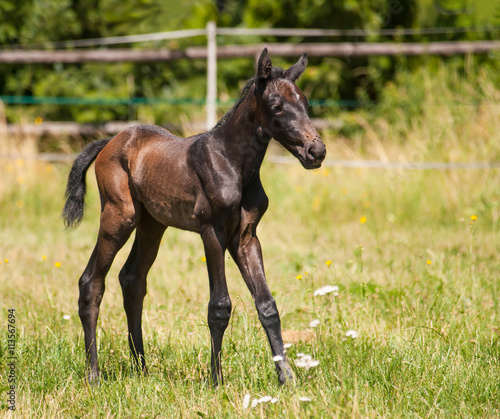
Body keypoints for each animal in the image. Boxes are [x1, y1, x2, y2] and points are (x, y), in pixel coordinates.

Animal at [62, 47, 326, 386]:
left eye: (305, 103)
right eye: (277, 106)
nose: (315, 152)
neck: (233, 163)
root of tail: (109, 142)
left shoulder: (246, 237)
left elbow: (267, 305)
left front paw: (287, 378)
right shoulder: (212, 231)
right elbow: (220, 306)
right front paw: (216, 380)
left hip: (152, 224)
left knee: (132, 280)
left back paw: (142, 369)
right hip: (119, 217)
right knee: (91, 282)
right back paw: (94, 374)